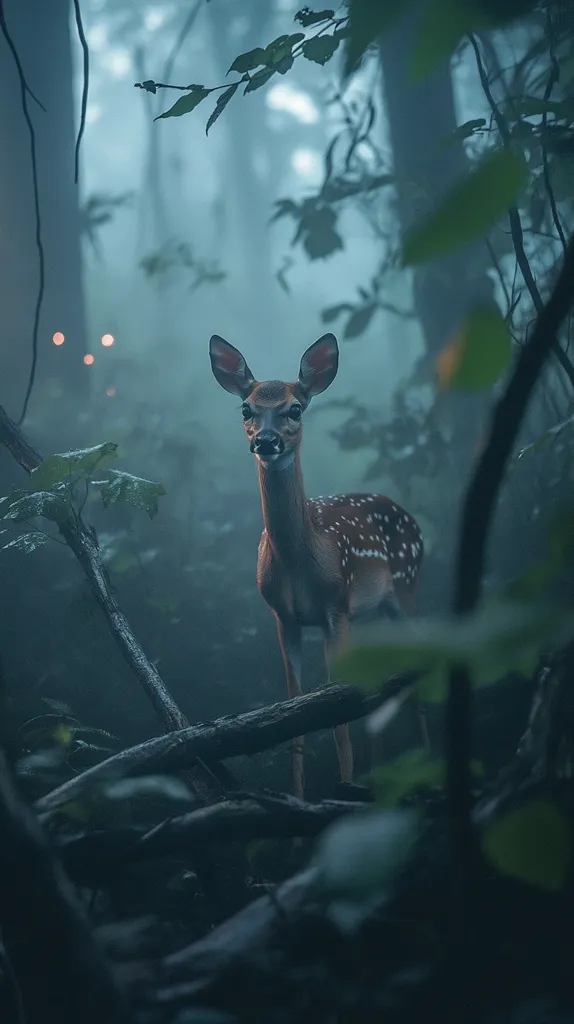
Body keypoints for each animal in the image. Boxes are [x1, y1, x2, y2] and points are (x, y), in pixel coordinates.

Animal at [209, 331, 425, 801]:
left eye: (295, 408)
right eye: (246, 408)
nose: (266, 441)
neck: (299, 564)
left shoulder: (335, 606)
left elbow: (337, 720)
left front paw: (344, 789)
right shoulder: (283, 617)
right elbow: (295, 717)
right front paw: (299, 796)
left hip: (405, 589)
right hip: (373, 614)